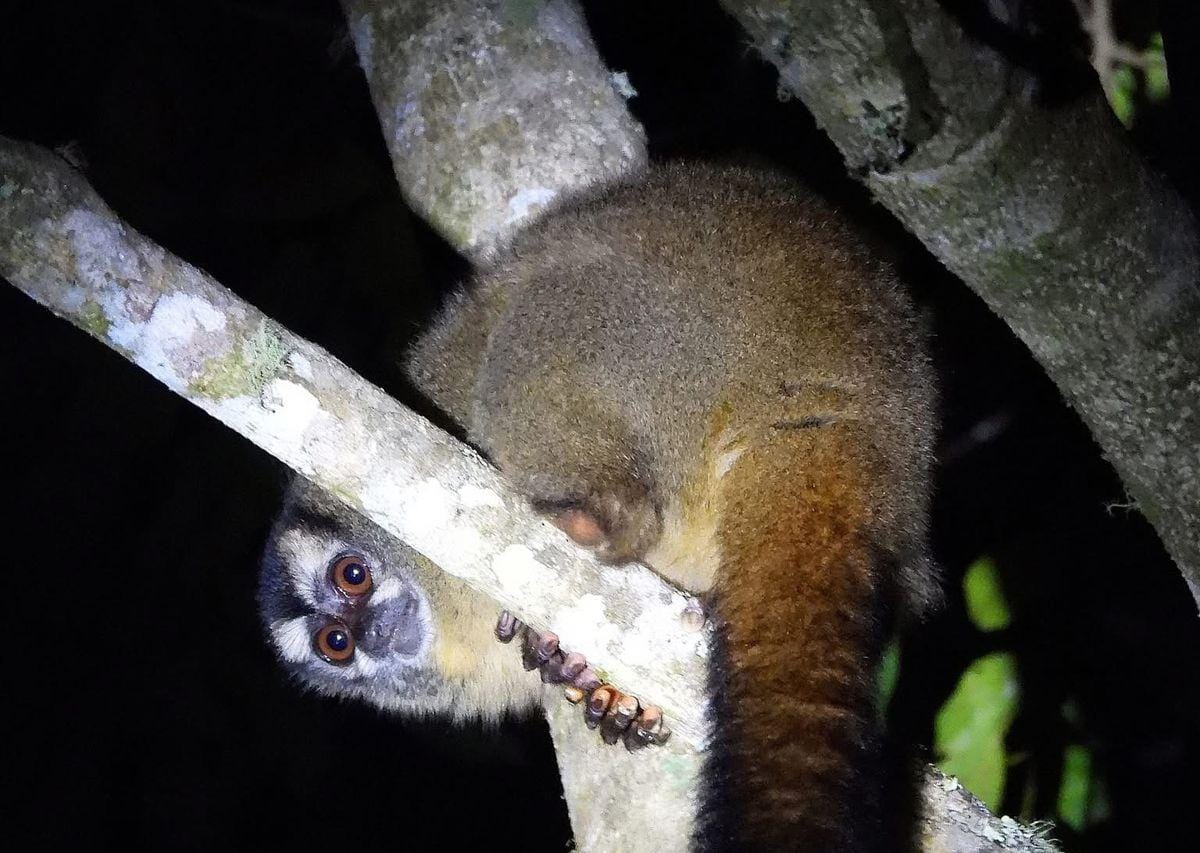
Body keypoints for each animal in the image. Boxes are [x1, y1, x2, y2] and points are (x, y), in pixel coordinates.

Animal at [404, 161, 940, 851]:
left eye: (350, 578)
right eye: (336, 642)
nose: (359, 637)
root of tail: (836, 407)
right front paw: (595, 689)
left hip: (670, 358)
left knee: (559, 302)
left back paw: (596, 514)